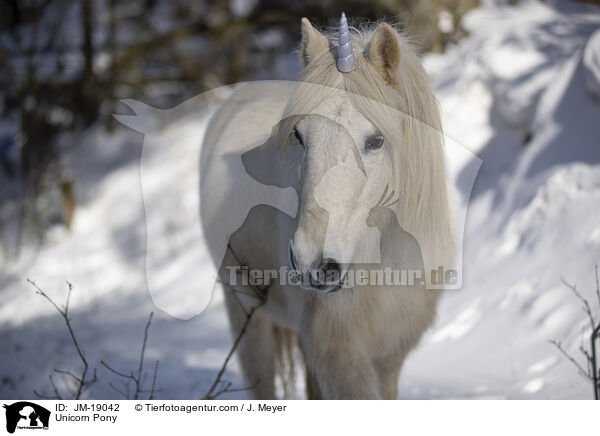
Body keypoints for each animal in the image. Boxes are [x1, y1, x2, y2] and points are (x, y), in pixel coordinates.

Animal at [200, 15, 454, 400]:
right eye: (299, 135)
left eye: (376, 140)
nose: (312, 263)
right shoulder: (340, 352)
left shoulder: (390, 353)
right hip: (245, 312)